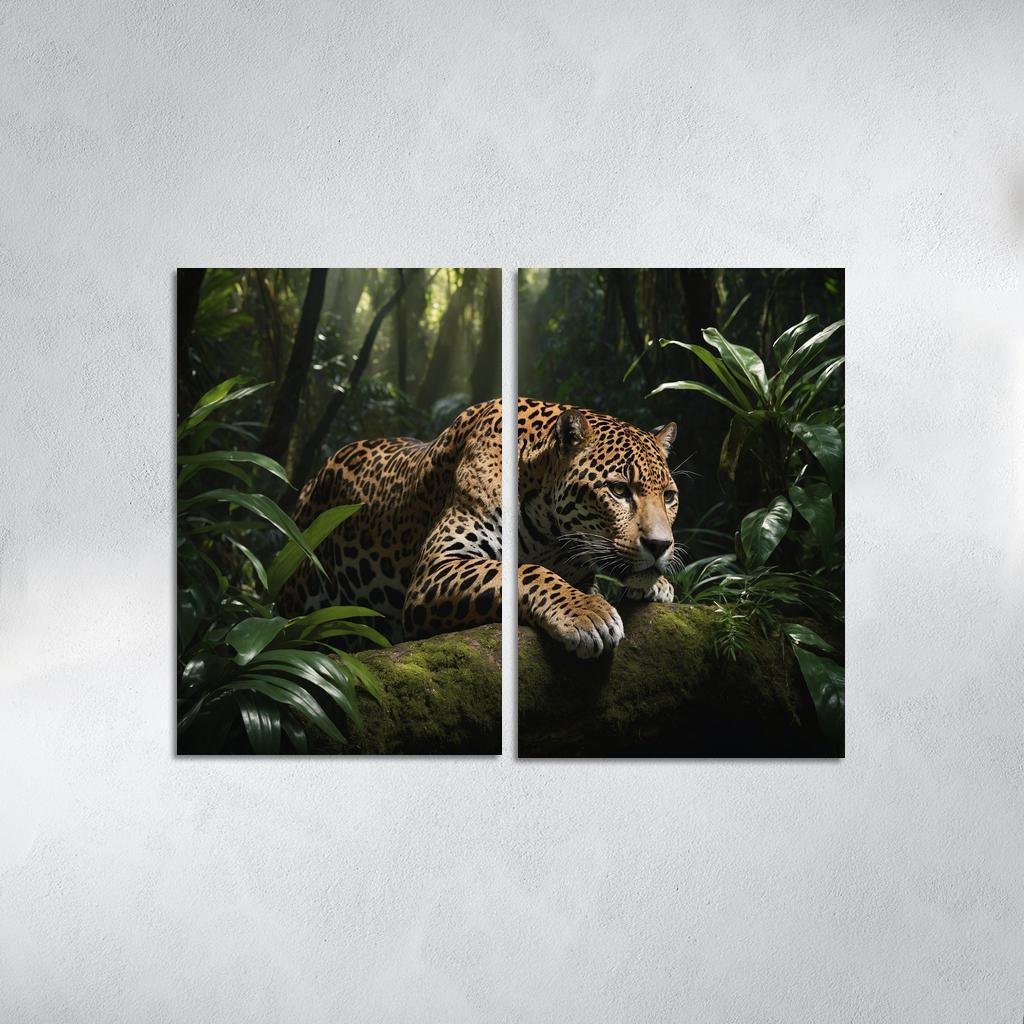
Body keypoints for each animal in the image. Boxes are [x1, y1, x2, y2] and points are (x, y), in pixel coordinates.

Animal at [278, 397, 679, 659]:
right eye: (619, 490)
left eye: (670, 497)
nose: (660, 545)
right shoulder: (436, 569)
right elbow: (526, 570)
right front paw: (586, 613)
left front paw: (656, 585)